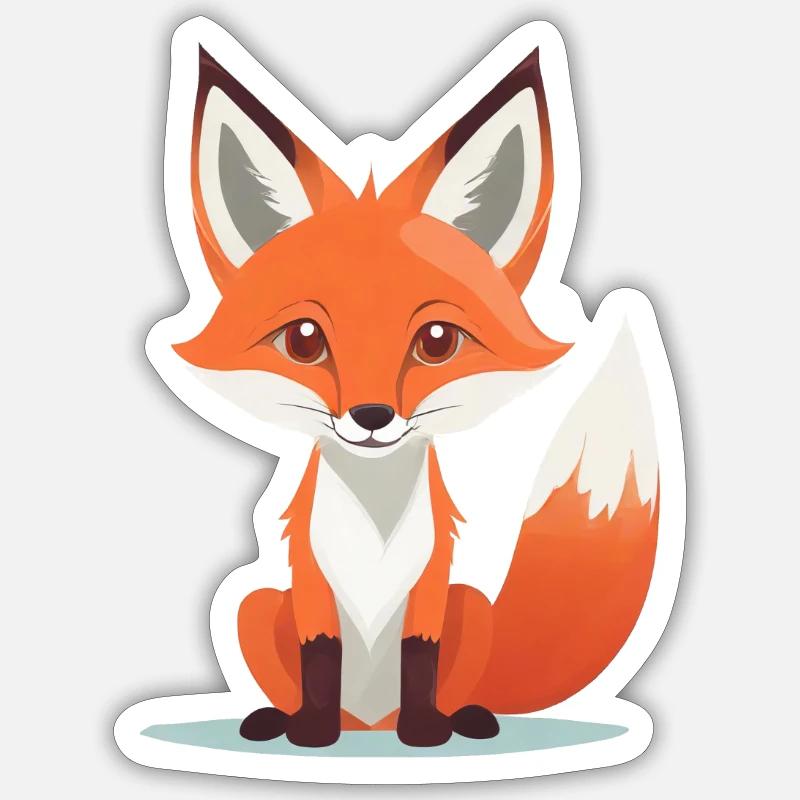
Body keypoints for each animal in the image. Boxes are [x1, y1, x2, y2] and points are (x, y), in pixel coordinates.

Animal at [151, 37, 664, 749]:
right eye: (304, 340)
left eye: (438, 340)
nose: (372, 415)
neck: (375, 519)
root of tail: (370, 720)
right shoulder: (310, 583)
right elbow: (320, 657)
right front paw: (311, 733)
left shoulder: (433, 585)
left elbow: (420, 657)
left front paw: (426, 732)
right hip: (253, 607)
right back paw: (284, 720)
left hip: (470, 605)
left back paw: (461, 719)